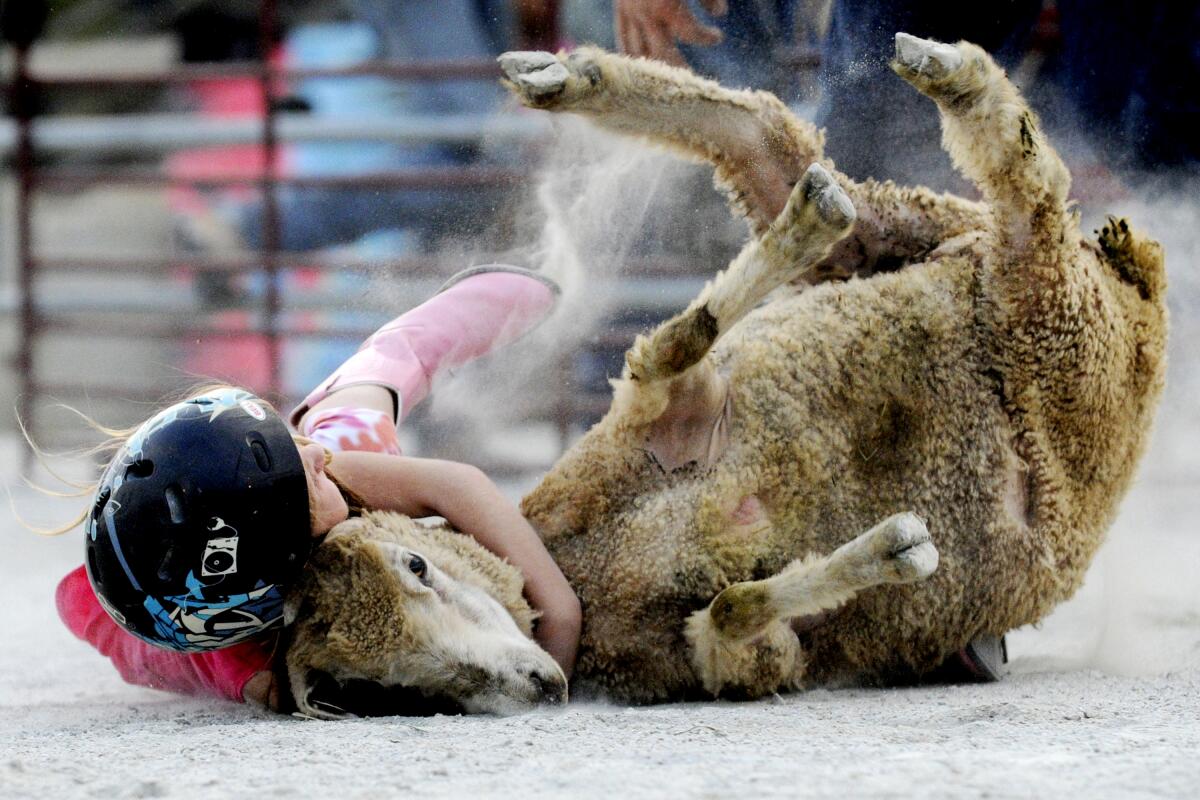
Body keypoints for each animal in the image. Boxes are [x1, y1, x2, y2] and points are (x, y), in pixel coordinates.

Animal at [278, 32, 1161, 719]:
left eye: (417, 566)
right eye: (391, 684)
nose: (538, 683)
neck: (593, 572)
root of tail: (1135, 282)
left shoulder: (677, 406)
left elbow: (673, 343)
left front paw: (797, 233)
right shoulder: (750, 661)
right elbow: (732, 613)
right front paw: (891, 551)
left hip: (1042, 307)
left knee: (1021, 186)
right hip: (970, 268)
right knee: (800, 152)